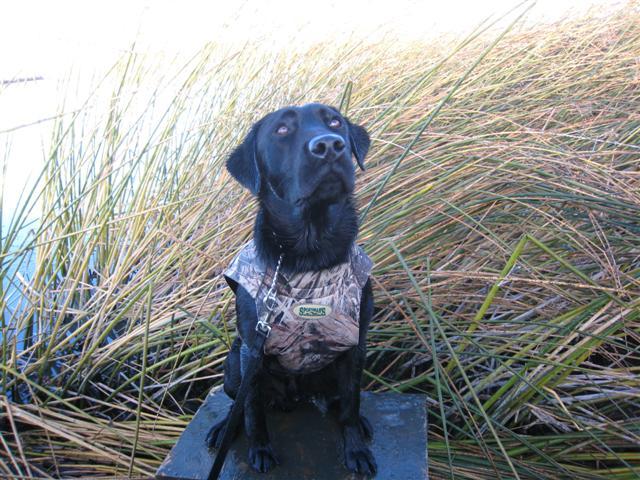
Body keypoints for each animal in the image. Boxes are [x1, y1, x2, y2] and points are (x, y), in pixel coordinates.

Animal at [205, 103, 376, 474]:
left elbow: (351, 404)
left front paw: (355, 447)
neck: (309, 253)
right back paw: (224, 427)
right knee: (237, 404)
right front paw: (260, 449)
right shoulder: (251, 350)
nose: (329, 146)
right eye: (281, 130)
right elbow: (252, 412)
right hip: (233, 362)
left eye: (334, 121)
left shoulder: (355, 344)